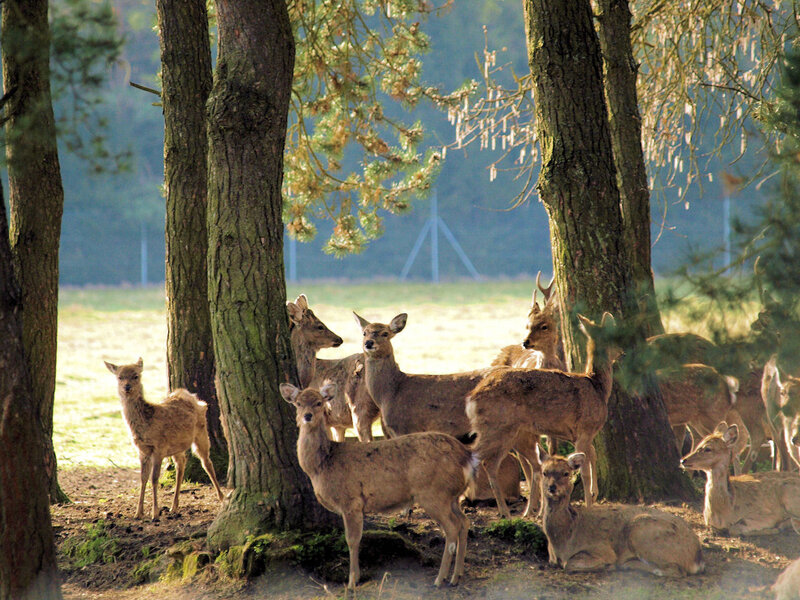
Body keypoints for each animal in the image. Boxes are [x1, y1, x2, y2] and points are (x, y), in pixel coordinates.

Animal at [104, 358, 225, 520]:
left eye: (136, 376)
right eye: (119, 377)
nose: (127, 387)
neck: (146, 424)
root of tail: (192, 396)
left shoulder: (159, 447)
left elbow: (154, 478)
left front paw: (155, 513)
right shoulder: (142, 451)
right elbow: (143, 478)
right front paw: (138, 512)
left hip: (201, 432)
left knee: (207, 463)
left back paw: (222, 498)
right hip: (176, 445)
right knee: (181, 463)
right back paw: (174, 506)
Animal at [280, 382, 473, 590]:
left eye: (318, 402)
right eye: (298, 403)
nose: (307, 416)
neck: (321, 465)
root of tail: (467, 457)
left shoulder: (351, 501)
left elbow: (352, 540)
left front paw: (352, 582)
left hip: (434, 493)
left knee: (452, 527)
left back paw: (440, 579)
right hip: (453, 495)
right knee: (464, 522)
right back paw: (457, 576)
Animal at [467, 312, 621, 518]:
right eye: (613, 337)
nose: (621, 352)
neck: (598, 388)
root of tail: (472, 398)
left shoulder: (578, 435)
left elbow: (592, 455)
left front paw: (594, 495)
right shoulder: (585, 429)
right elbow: (584, 471)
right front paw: (589, 506)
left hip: (512, 433)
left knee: (493, 463)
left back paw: (512, 512)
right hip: (498, 427)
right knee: (480, 459)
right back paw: (503, 511)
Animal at [538, 449, 705, 576]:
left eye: (566, 473)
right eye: (544, 472)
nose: (552, 487)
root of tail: (697, 556)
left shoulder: (601, 548)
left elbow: (570, 564)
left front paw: (607, 566)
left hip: (641, 531)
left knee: (676, 570)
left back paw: (628, 565)